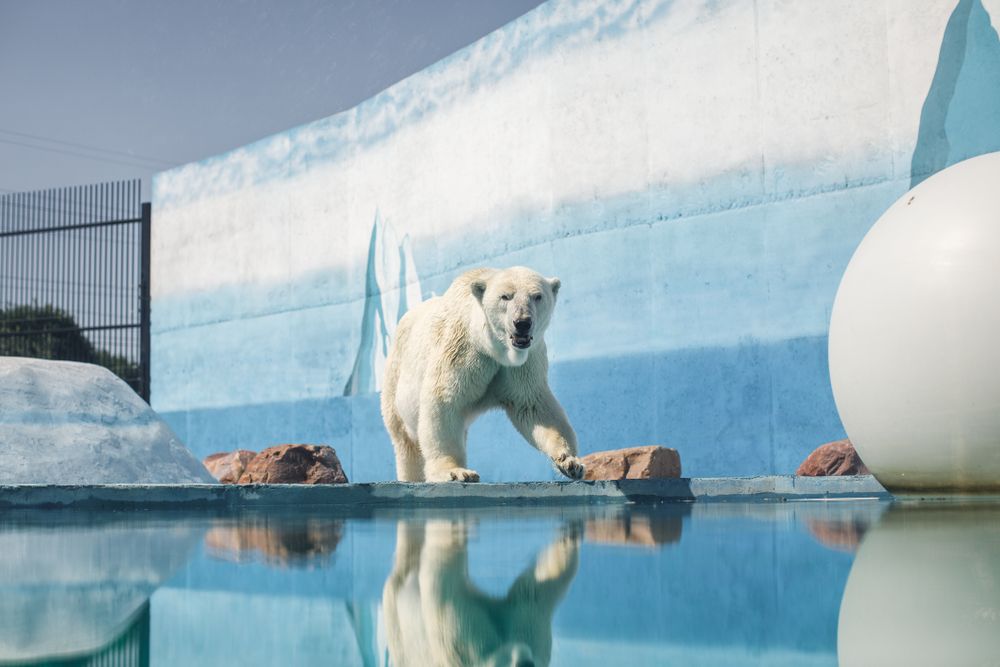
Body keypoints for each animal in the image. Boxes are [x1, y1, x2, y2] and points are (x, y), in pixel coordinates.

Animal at [380, 266, 584, 482]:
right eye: (506, 296)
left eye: (537, 296)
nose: (522, 322)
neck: (494, 348)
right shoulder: (462, 350)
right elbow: (444, 402)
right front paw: (456, 472)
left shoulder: (523, 364)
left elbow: (533, 406)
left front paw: (569, 462)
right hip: (395, 381)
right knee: (406, 442)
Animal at [382, 519, 580, 667]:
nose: (525, 663)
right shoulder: (459, 634)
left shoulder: (528, 624)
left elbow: (531, 590)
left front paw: (569, 537)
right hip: (397, 624)